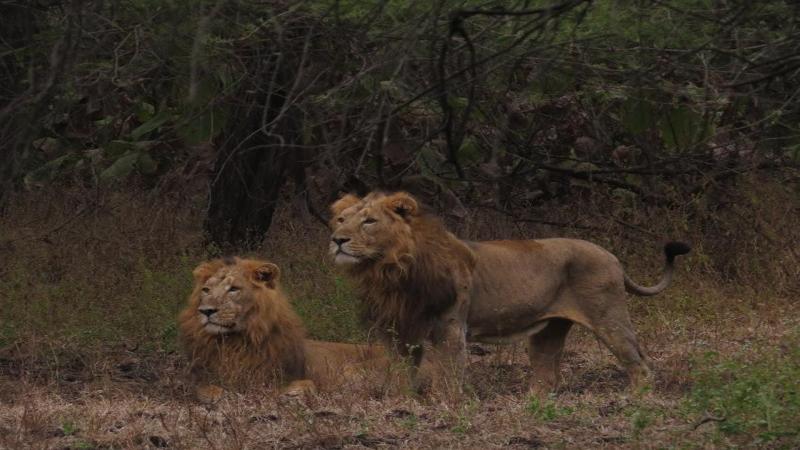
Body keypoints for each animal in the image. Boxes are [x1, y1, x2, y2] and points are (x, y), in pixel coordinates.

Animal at [178, 256, 386, 399]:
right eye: (206, 290)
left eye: (234, 289)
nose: (206, 311)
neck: (236, 341)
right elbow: (205, 389)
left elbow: (305, 385)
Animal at [328, 191, 690, 393]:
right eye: (341, 220)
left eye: (369, 222)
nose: (337, 240)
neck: (388, 269)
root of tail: (612, 256)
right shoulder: (399, 329)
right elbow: (402, 374)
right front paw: (403, 403)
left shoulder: (450, 328)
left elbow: (448, 377)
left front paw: (445, 406)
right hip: (548, 332)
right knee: (545, 378)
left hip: (609, 318)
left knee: (640, 365)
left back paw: (637, 402)